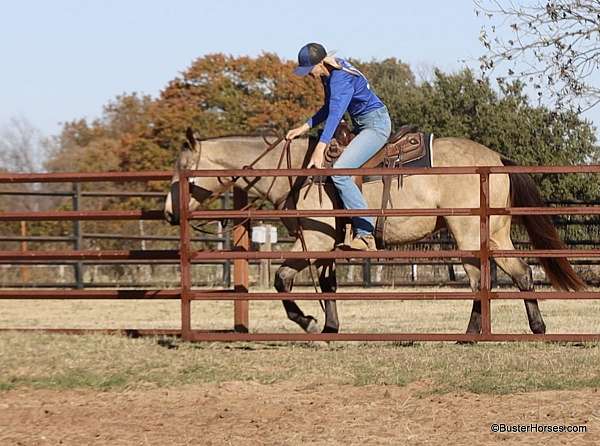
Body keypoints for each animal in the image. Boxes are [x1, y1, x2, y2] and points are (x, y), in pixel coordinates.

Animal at [163, 127, 580, 332]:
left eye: (182, 169)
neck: (298, 171)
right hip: (487, 232)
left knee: (493, 276)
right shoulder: (326, 245)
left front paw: (308, 322)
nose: (168, 212)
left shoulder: (314, 241)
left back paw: (496, 331)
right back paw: (511, 328)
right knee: (508, 274)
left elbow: (282, 279)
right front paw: (330, 327)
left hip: (471, 232)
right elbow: (328, 286)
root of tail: (495, 158)